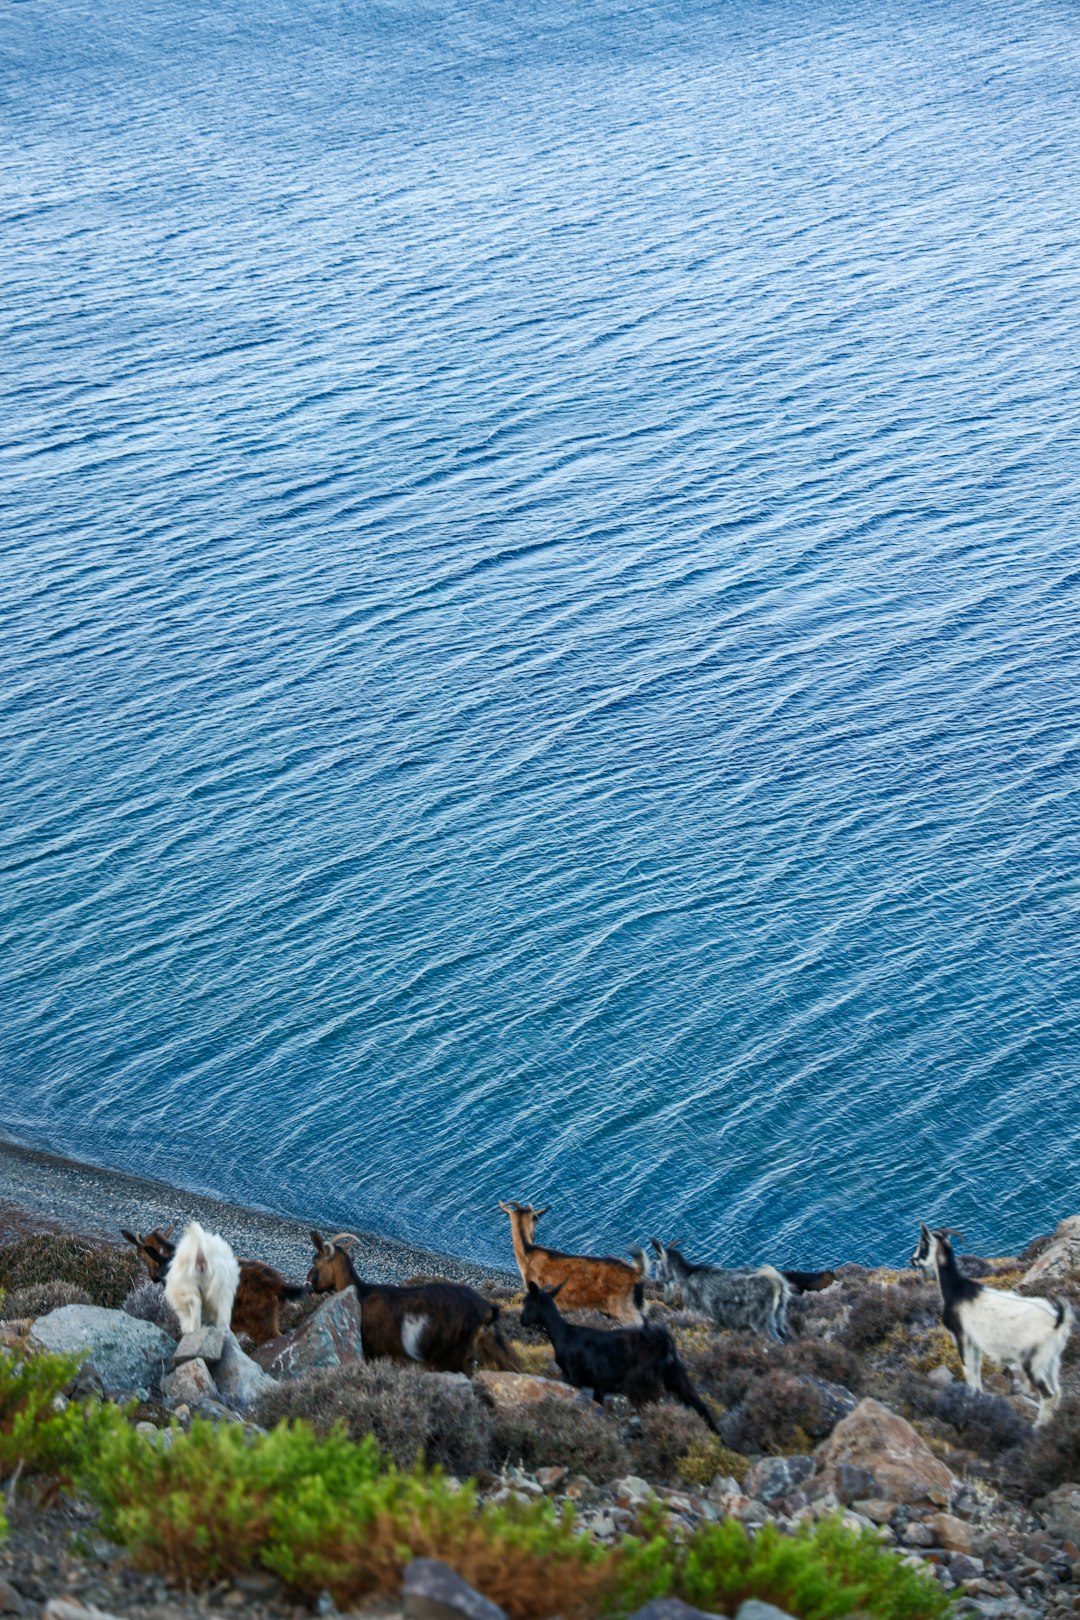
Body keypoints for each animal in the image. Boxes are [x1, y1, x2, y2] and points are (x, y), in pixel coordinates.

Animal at [306, 1231, 521, 1373]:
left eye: (315, 1261)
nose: (309, 1282)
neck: (361, 1293)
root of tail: (486, 1311)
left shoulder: (372, 1347)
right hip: (490, 1346)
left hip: (453, 1354)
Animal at [521, 1276, 718, 1432]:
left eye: (528, 1304)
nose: (521, 1320)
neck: (564, 1335)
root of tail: (666, 1345)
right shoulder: (597, 1385)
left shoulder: (573, 1377)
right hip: (674, 1374)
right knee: (699, 1404)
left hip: (642, 1382)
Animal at [650, 1237, 793, 1341]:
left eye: (656, 1263)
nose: (658, 1282)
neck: (687, 1275)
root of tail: (778, 1284)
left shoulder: (702, 1313)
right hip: (779, 1316)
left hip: (762, 1321)